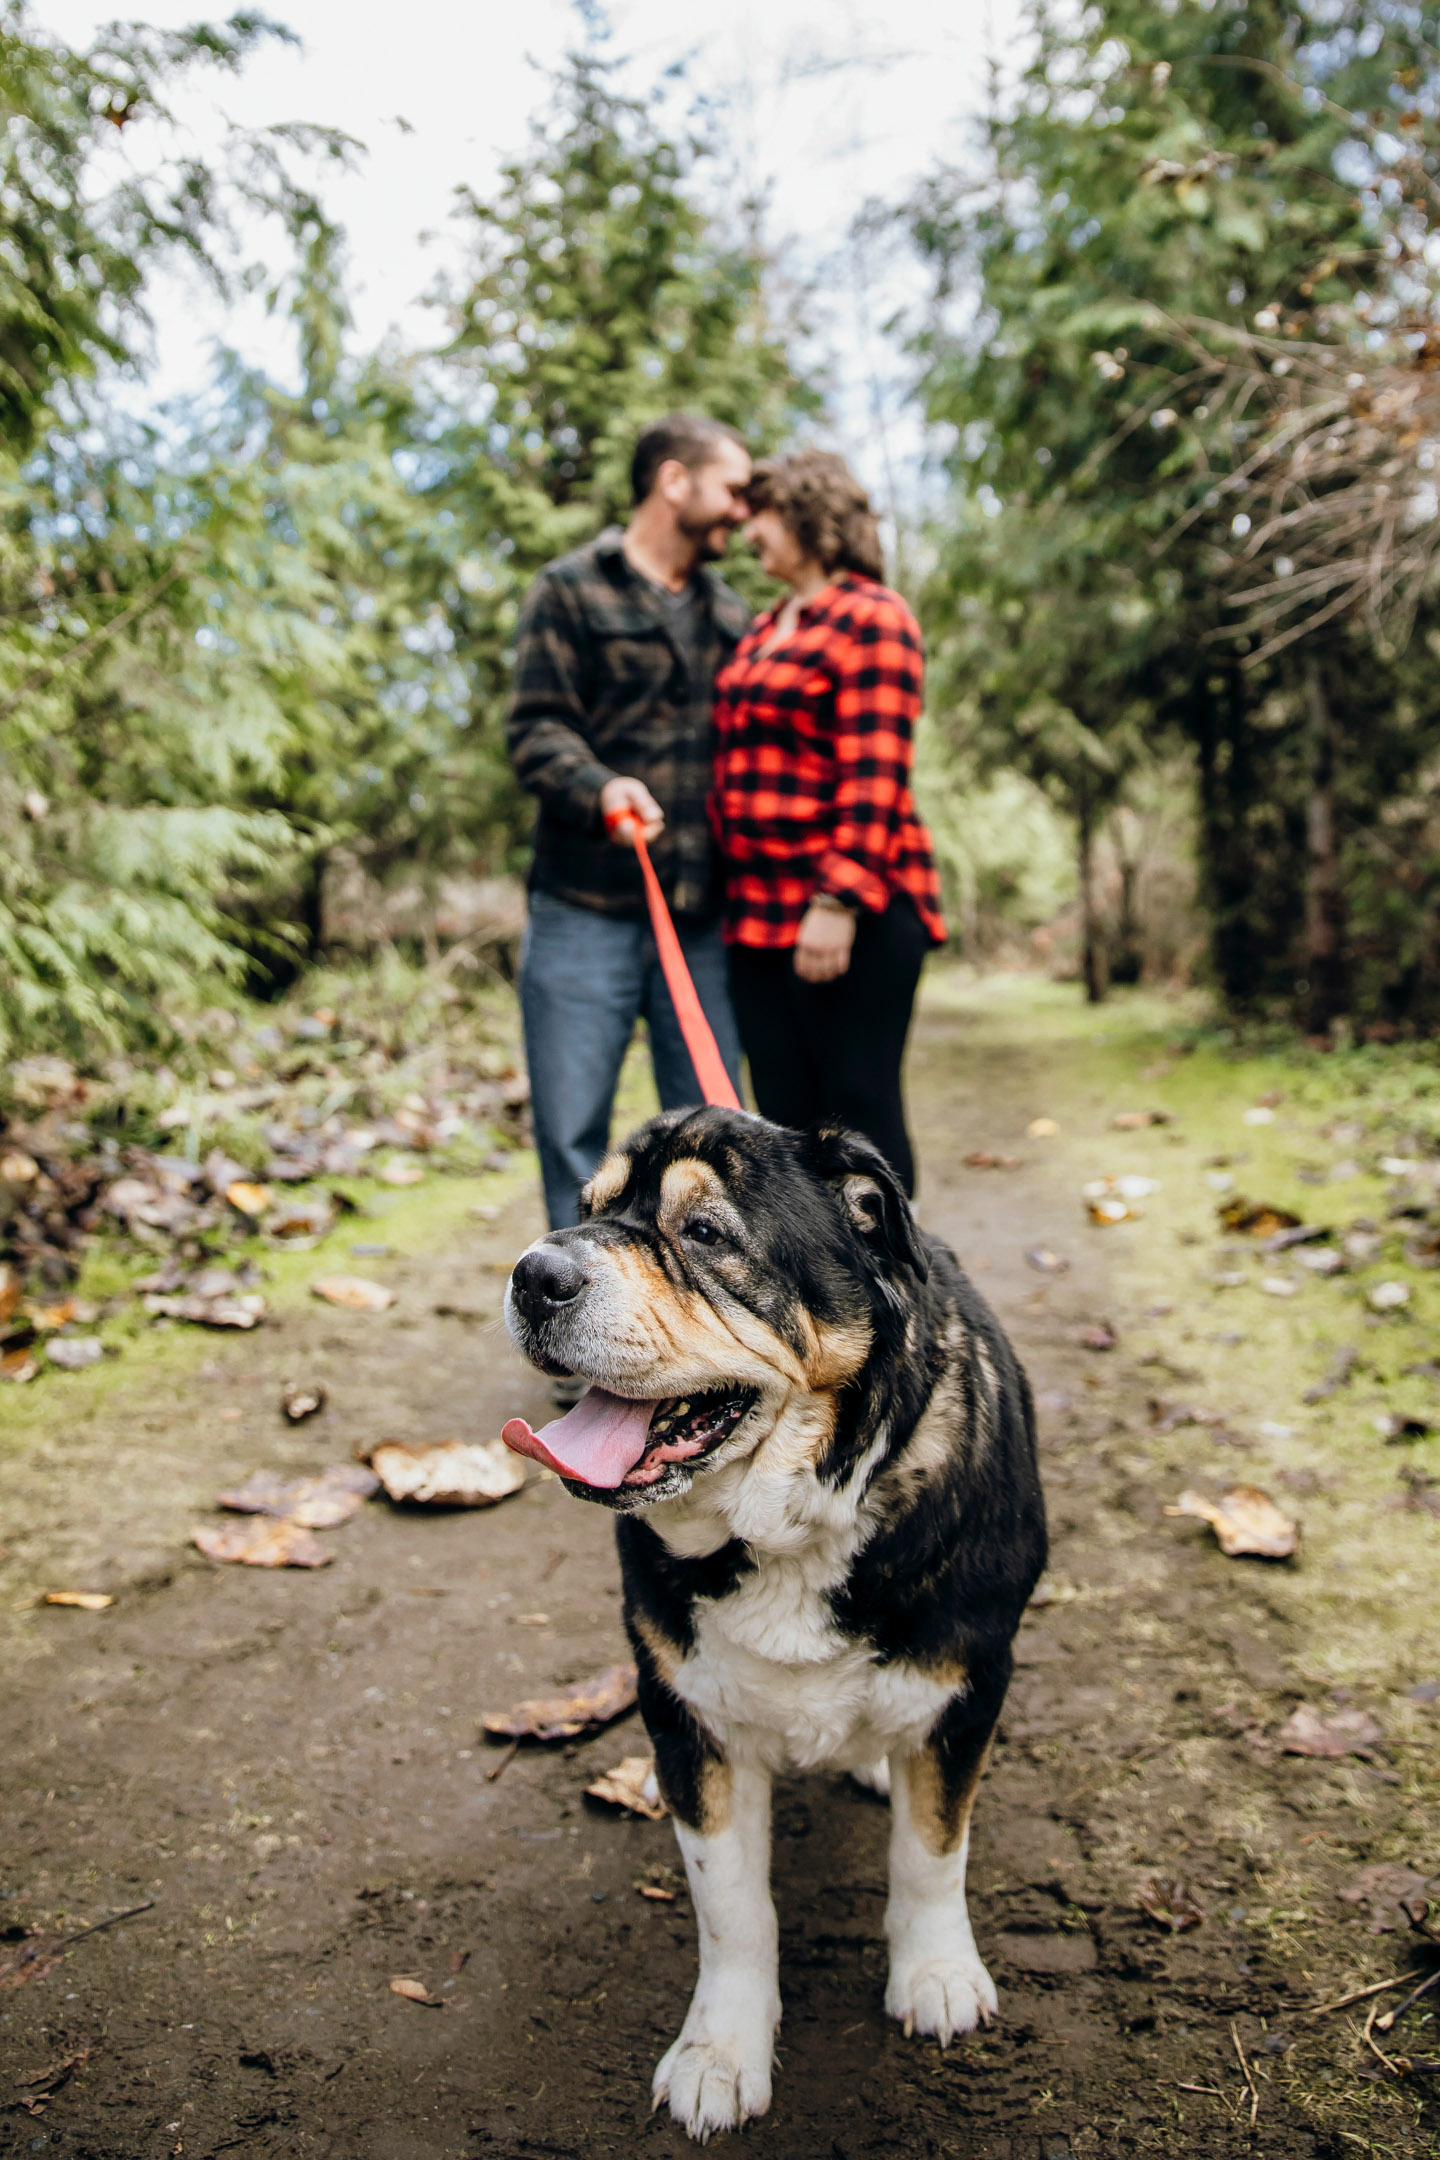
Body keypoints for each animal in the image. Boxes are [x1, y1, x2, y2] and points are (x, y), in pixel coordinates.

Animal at [505, 1114, 1049, 2142]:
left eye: (705, 1233)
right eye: (589, 1207)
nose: (533, 1273)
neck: (791, 1529)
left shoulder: (968, 1687)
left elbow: (931, 1851)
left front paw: (936, 1974)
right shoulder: (691, 1719)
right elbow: (732, 1908)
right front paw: (722, 2051)